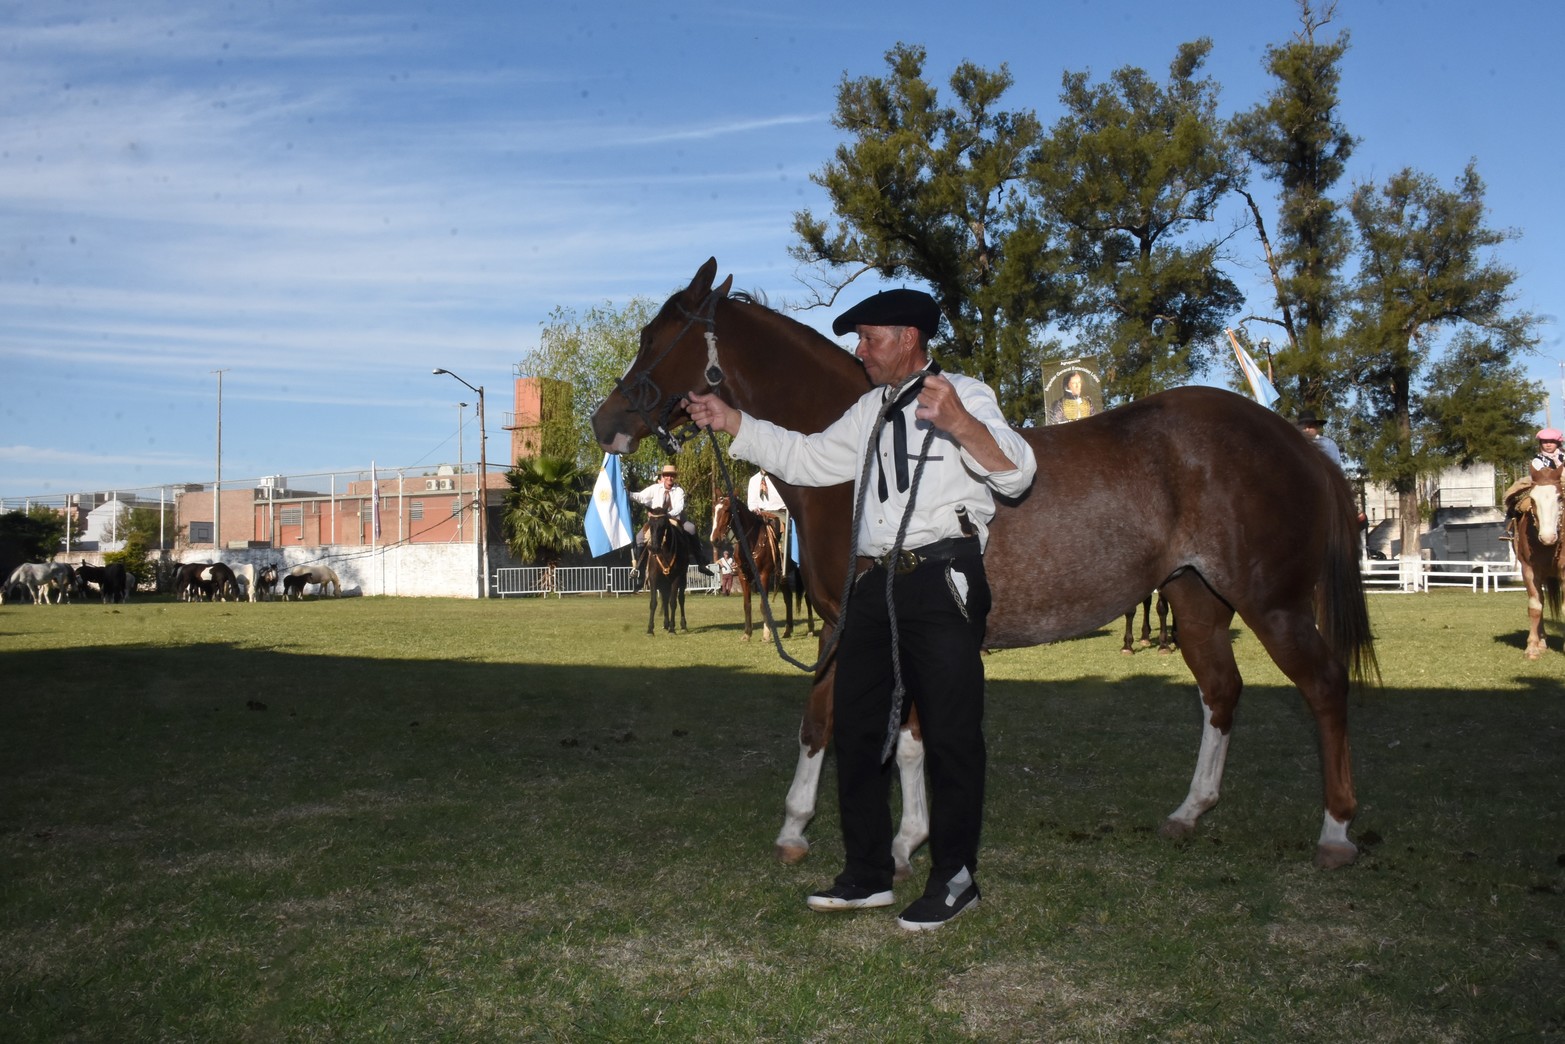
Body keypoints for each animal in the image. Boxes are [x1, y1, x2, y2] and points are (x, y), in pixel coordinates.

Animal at [711, 492, 794, 641]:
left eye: (727, 510)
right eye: (714, 510)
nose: (715, 539)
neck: (751, 542)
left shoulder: (763, 575)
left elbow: (763, 605)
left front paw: (766, 634)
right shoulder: (743, 575)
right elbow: (747, 604)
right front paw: (747, 633)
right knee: (788, 598)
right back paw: (787, 630)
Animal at [1505, 466, 1562, 659]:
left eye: (1560, 497)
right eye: (1533, 499)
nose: (1547, 537)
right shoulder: (1530, 570)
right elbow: (1535, 606)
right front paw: (1532, 647)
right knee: (1541, 601)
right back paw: (1542, 641)